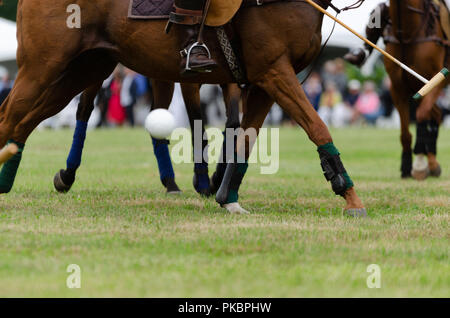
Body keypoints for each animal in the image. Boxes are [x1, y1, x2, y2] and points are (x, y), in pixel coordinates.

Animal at [0, 0, 366, 215]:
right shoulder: (274, 70)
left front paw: (227, 196)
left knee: (24, 119)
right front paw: (350, 196)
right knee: (18, 116)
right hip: (43, 65)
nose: (360, 54)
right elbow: (317, 125)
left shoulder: (263, 79)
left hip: (84, 67)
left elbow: (243, 137)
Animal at [384, 0, 450, 179]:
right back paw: (432, 163)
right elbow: (405, 133)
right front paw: (406, 166)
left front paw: (419, 164)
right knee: (437, 114)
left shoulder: (436, 80)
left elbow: (421, 115)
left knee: (432, 113)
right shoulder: (397, 87)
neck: (407, 35)